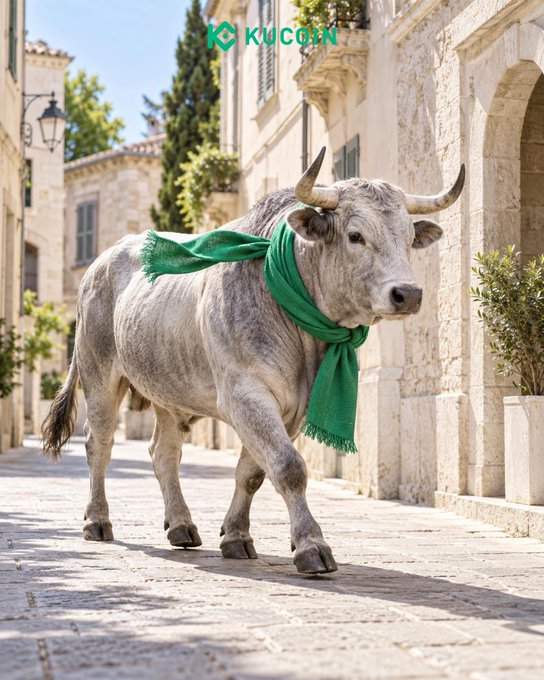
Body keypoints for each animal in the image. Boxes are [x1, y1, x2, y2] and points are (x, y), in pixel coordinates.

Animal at [42, 148, 464, 574]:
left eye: (409, 238)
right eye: (355, 235)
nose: (408, 294)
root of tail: (104, 259)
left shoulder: (291, 408)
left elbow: (252, 473)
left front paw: (236, 536)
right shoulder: (246, 393)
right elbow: (289, 468)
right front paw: (311, 544)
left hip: (168, 391)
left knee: (164, 454)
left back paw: (180, 525)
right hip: (99, 375)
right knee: (99, 444)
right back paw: (97, 520)